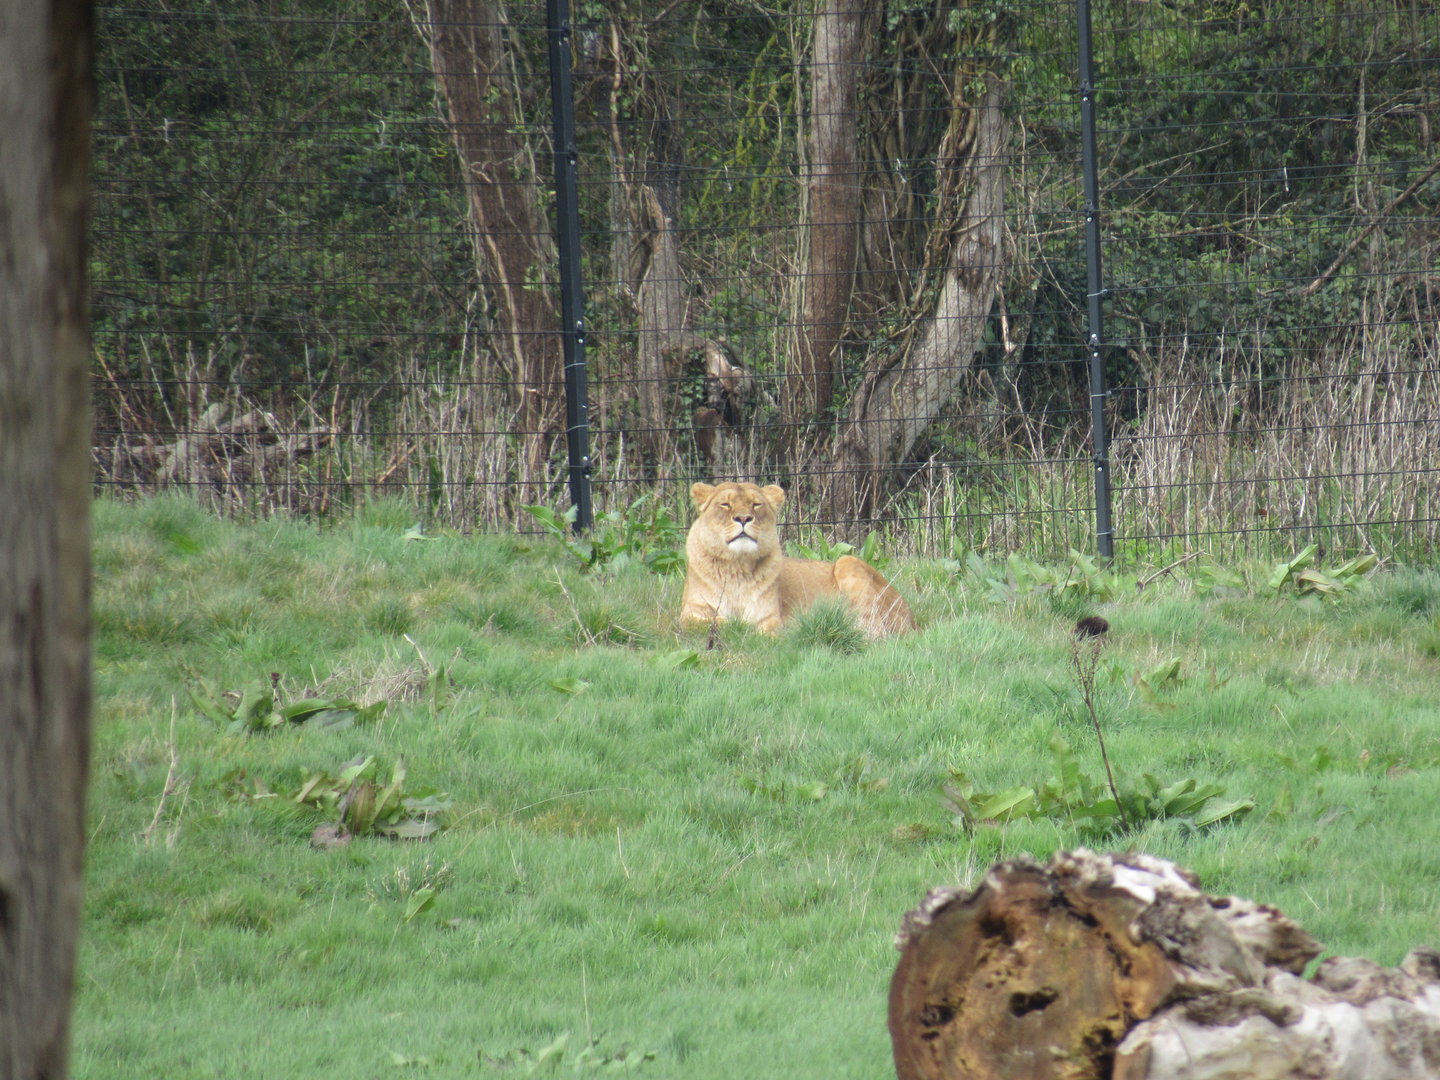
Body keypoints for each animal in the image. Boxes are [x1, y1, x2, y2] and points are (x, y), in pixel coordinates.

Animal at [679, 481, 915, 639]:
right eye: (725, 504)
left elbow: (755, 629)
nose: (744, 518)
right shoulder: (689, 613)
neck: (737, 566)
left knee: (875, 631)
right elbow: (717, 623)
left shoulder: (770, 618)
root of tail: (912, 620)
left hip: (847, 561)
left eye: (756, 504)